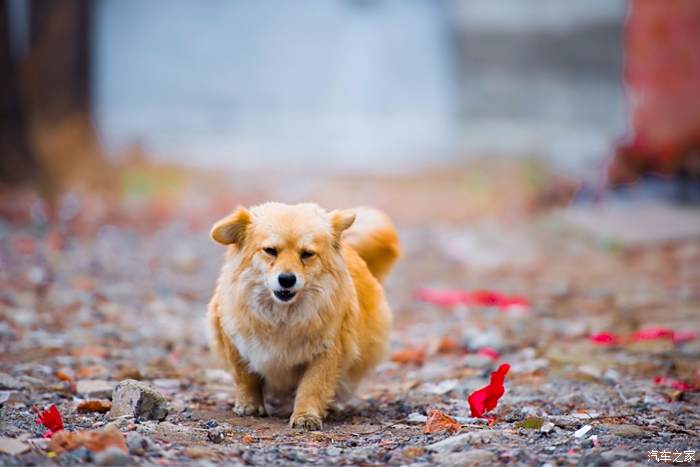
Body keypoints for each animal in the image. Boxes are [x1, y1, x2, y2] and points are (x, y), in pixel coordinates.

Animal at [206, 203, 400, 430]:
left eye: (307, 254)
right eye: (270, 251)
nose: (287, 279)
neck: (281, 316)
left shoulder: (326, 351)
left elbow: (312, 386)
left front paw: (306, 415)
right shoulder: (235, 342)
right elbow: (245, 377)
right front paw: (249, 406)